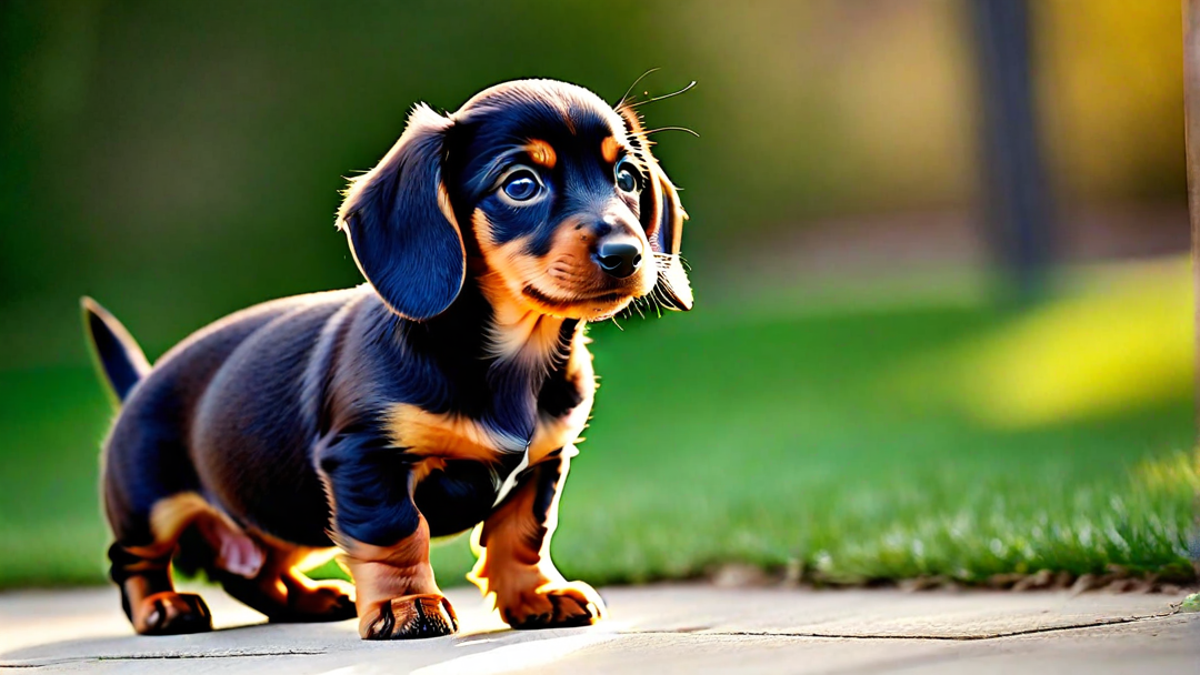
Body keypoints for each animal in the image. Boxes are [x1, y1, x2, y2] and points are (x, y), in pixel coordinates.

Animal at [84, 78, 696, 634]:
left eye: (627, 178)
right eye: (521, 185)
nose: (627, 254)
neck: (510, 356)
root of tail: (139, 384)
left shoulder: (546, 460)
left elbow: (523, 532)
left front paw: (537, 594)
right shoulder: (364, 458)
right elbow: (396, 533)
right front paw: (408, 606)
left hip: (286, 511)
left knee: (254, 573)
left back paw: (309, 599)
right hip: (151, 509)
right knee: (134, 563)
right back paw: (162, 607)